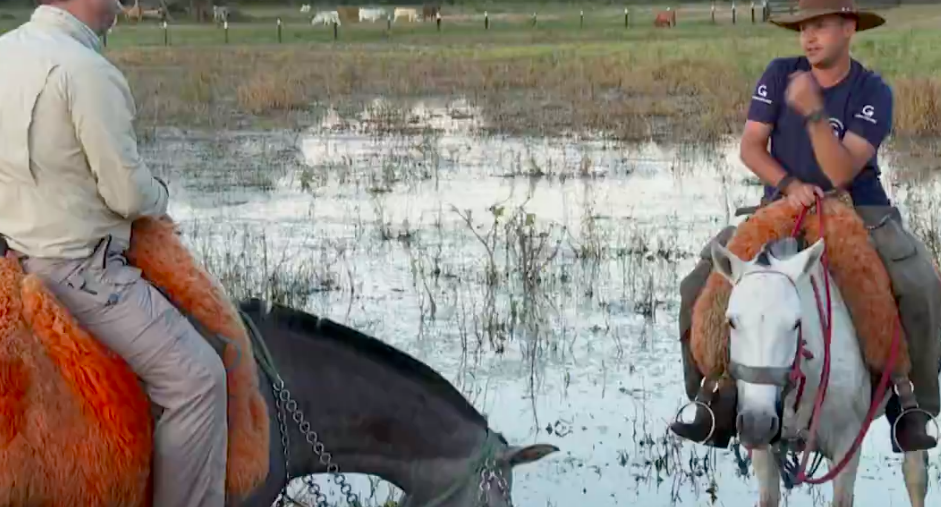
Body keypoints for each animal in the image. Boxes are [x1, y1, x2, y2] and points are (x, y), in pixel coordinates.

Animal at [712, 237, 924, 507]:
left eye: (796, 323)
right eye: (731, 321)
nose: (756, 424)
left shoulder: (847, 445)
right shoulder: (764, 452)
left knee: (915, 468)